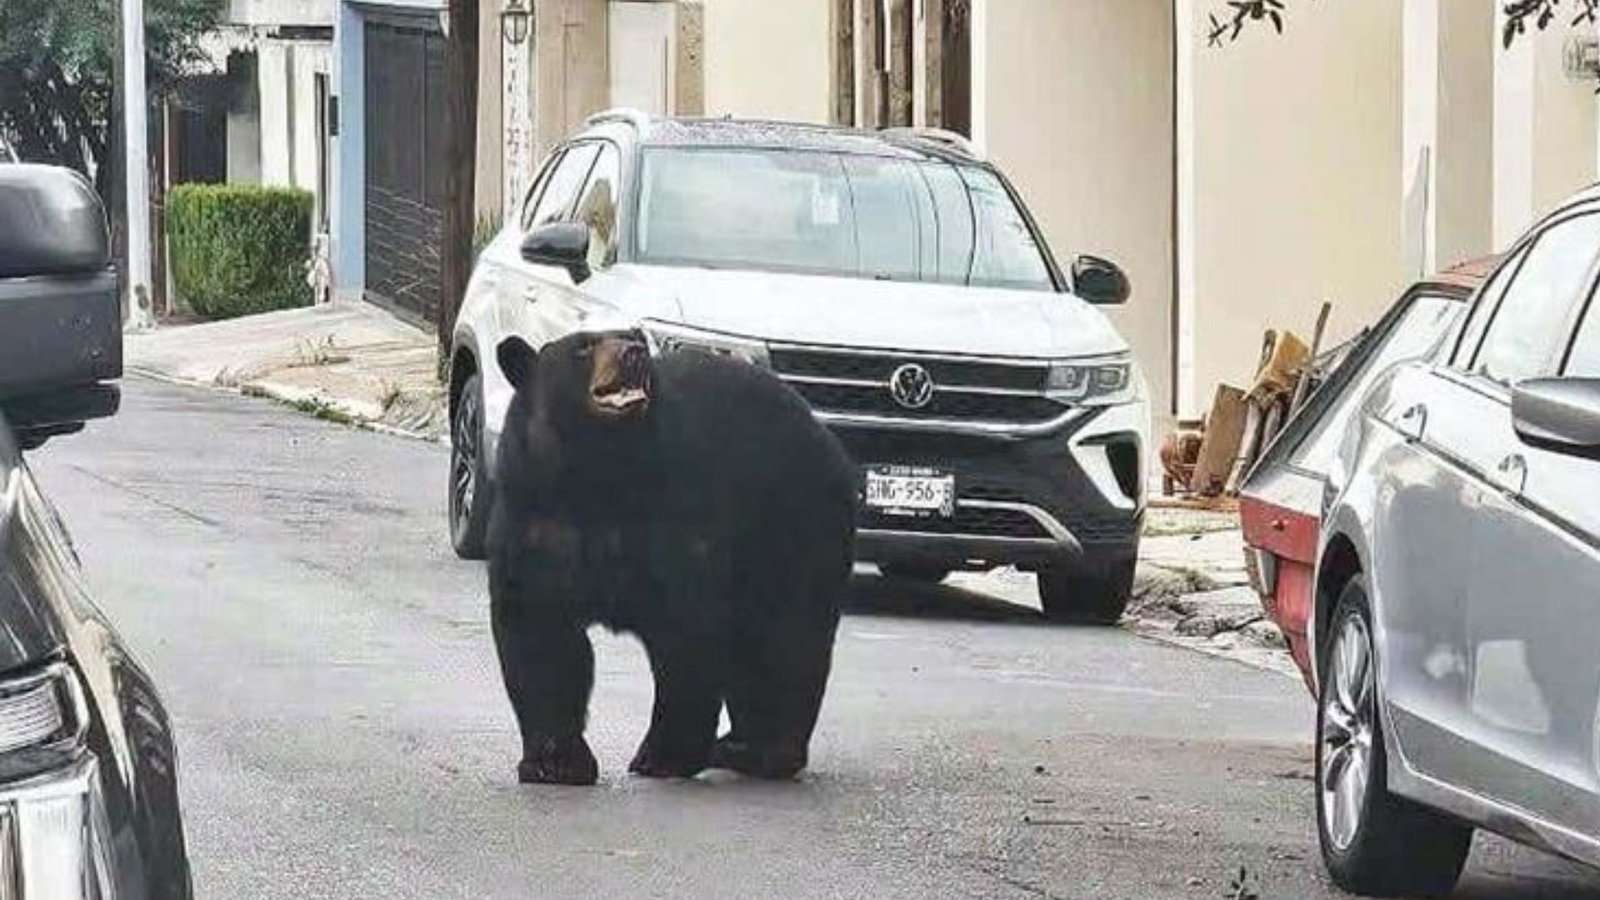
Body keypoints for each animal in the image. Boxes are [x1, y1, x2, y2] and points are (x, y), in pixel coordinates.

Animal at [487, 327, 858, 784]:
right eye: (583, 346)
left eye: (629, 335)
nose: (634, 353)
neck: (599, 474)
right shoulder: (535, 517)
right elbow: (540, 631)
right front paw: (554, 762)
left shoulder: (678, 510)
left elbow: (686, 630)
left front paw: (663, 756)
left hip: (795, 521)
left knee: (784, 634)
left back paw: (761, 750)